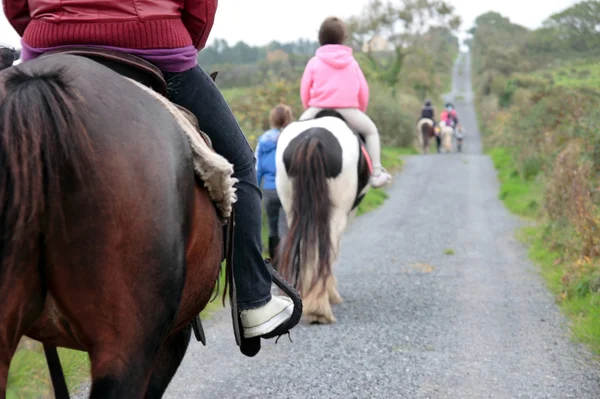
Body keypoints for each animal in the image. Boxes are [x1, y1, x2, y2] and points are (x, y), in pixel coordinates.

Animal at [276, 109, 370, 324]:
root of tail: (312, 137)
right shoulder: (348, 213)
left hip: (292, 209)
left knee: (306, 246)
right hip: (336, 215)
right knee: (326, 248)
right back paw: (320, 308)